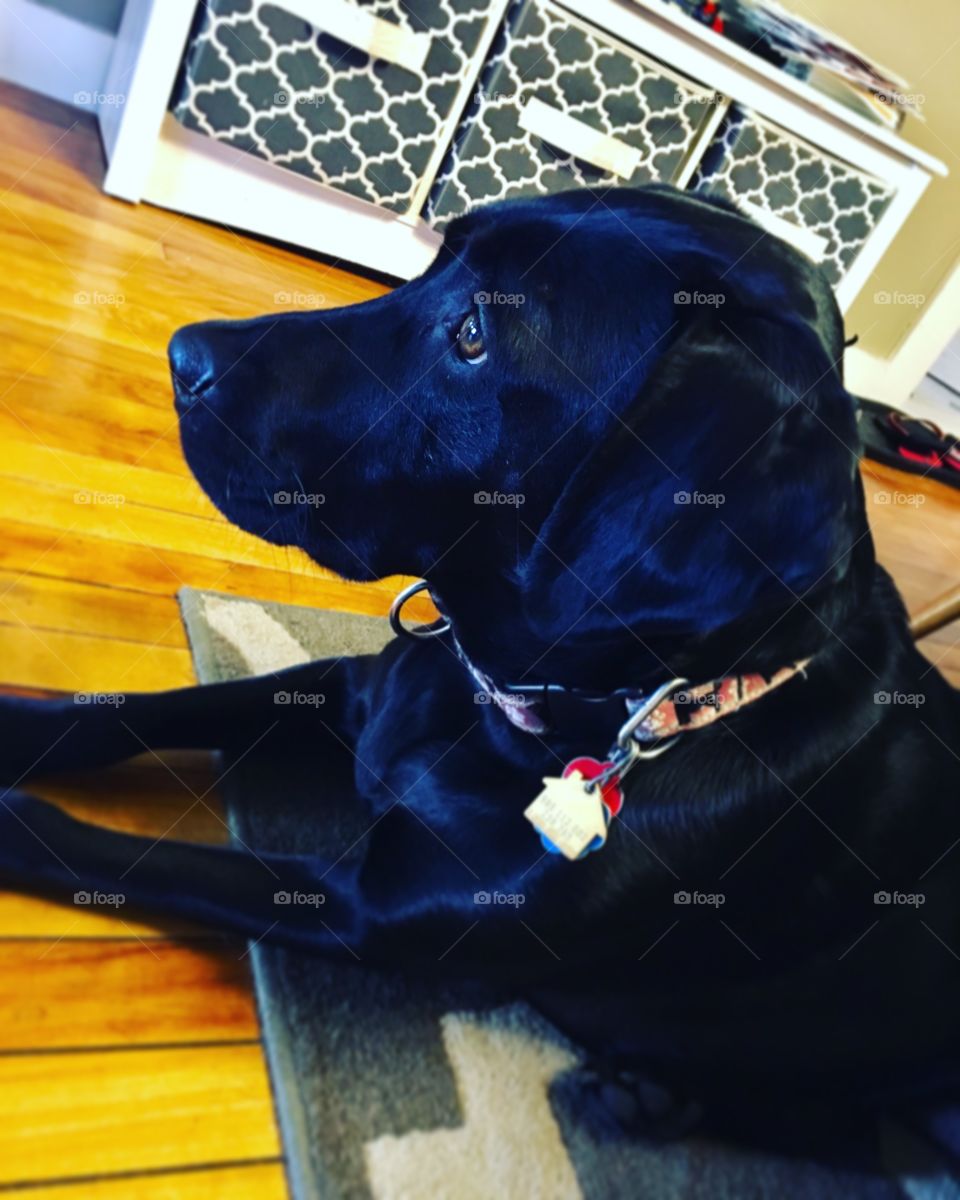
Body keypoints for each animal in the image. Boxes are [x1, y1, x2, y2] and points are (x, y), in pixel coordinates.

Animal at [1, 184, 960, 1132]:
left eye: (472, 334)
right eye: (435, 263)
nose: (181, 359)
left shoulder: (372, 910)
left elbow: (152, 861)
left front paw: (15, 821)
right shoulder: (353, 689)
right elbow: (141, 714)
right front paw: (18, 724)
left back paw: (643, 1099)